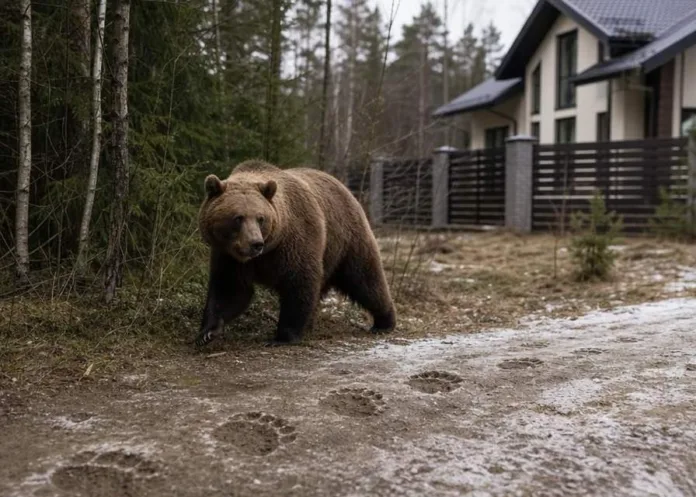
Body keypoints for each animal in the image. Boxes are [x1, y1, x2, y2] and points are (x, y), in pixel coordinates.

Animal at [195, 159, 396, 347]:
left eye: (261, 218)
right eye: (238, 218)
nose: (256, 243)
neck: (269, 249)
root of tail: (344, 187)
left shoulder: (295, 242)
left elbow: (299, 283)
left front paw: (283, 337)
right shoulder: (230, 257)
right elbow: (230, 288)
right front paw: (207, 332)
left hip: (346, 239)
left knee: (365, 279)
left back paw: (384, 322)